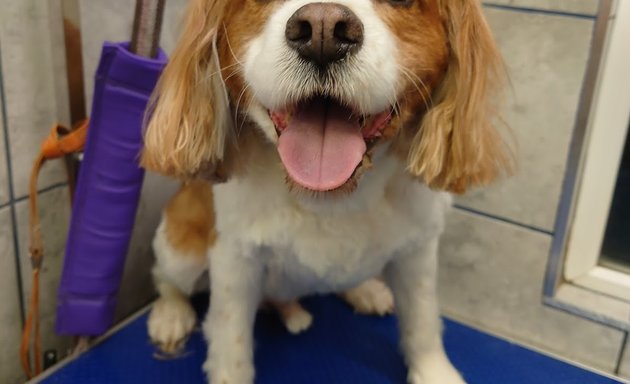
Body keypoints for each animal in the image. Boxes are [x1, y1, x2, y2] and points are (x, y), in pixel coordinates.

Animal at [141, 1, 512, 382]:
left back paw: (364, 290)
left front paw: (434, 371)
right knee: (166, 279)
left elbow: (422, 319)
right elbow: (232, 342)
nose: (323, 30)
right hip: (180, 249)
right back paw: (171, 314)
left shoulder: (418, 249)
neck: (330, 196)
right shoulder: (235, 258)